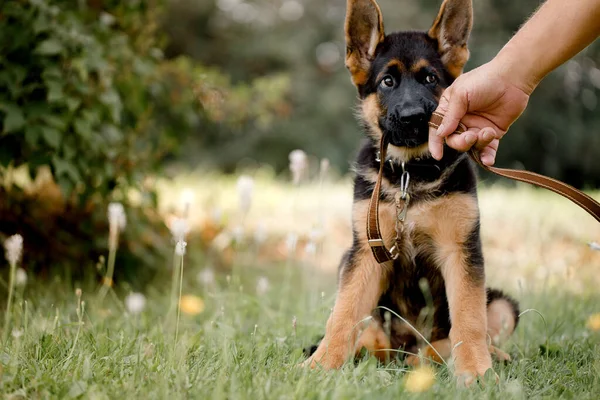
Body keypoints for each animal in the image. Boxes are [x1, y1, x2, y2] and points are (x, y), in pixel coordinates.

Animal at [304, 0, 520, 388]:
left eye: (430, 79)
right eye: (387, 82)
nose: (412, 116)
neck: (410, 175)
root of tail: (405, 350)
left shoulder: (460, 250)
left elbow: (469, 319)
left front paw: (476, 372)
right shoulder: (366, 253)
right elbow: (343, 314)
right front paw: (320, 366)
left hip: (502, 304)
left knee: (453, 338)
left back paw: (472, 356)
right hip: (354, 270)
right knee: (374, 337)